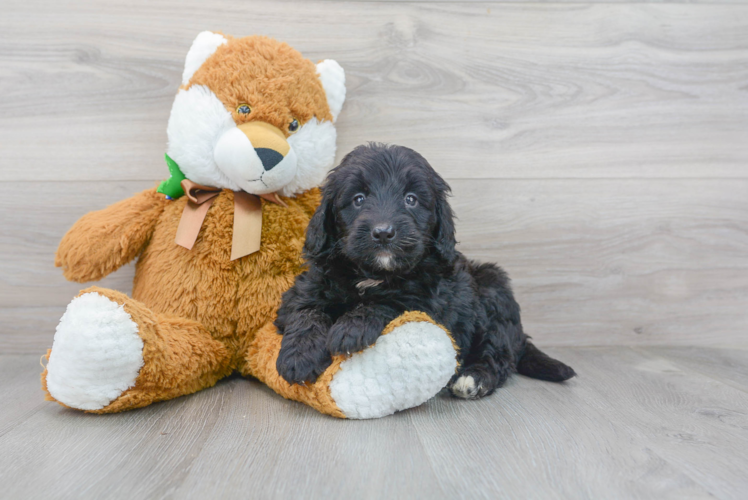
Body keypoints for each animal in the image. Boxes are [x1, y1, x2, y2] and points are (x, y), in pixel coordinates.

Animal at [274, 144, 572, 398]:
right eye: (358, 199)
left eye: (411, 199)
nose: (383, 232)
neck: (374, 273)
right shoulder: (304, 289)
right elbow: (306, 311)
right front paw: (299, 356)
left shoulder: (431, 303)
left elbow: (392, 302)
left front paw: (351, 327)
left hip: (492, 288)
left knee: (498, 354)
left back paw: (474, 379)